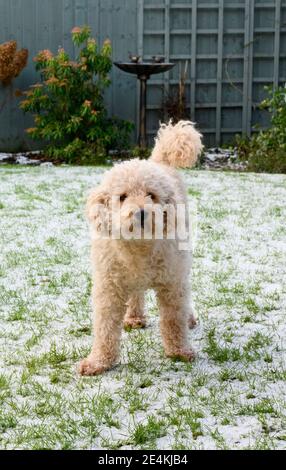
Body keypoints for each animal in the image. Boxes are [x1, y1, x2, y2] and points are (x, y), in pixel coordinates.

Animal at [79, 120, 202, 374]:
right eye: (122, 196)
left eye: (151, 195)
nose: (141, 213)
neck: (139, 247)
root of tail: (158, 161)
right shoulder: (109, 285)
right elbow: (105, 326)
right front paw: (99, 361)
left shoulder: (172, 281)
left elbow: (173, 319)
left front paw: (179, 351)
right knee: (136, 293)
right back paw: (134, 317)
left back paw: (189, 317)